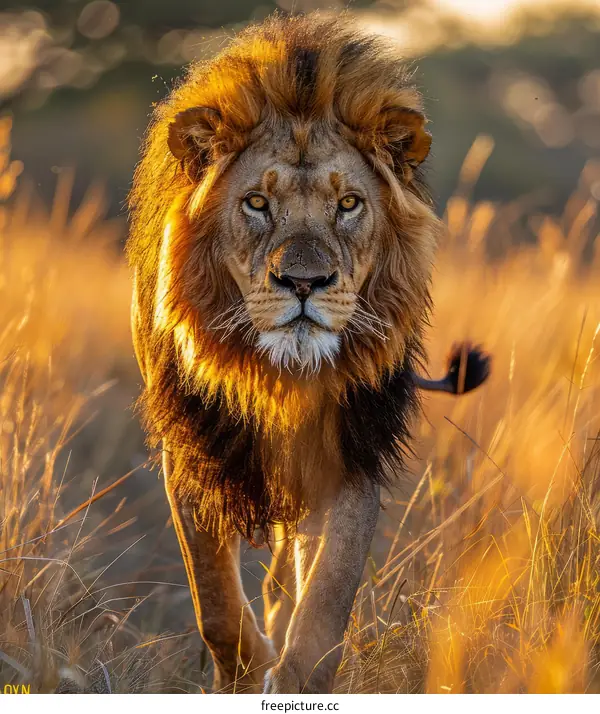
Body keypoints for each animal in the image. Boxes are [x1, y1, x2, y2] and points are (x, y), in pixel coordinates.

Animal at [127, 13, 490, 694]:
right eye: (256, 203)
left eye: (348, 204)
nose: (303, 283)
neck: (280, 373)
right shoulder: (192, 444)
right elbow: (215, 602)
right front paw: (247, 674)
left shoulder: (353, 444)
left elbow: (327, 595)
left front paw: (293, 677)